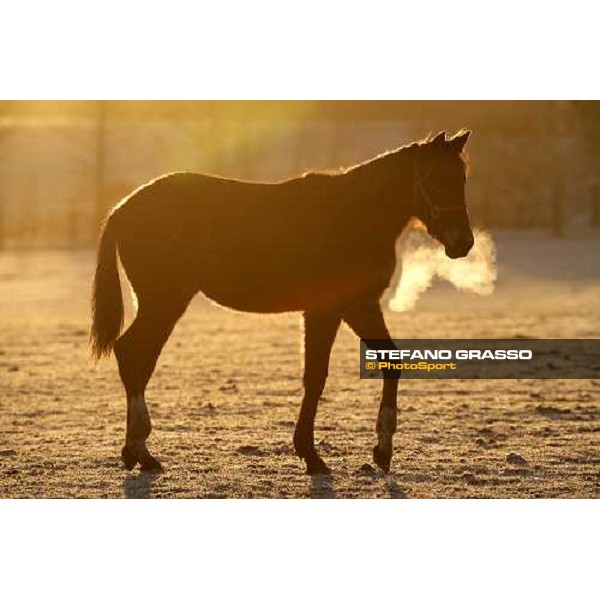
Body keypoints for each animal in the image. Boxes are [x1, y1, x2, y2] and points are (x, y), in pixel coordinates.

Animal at [90, 130, 474, 474]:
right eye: (435, 178)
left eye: (462, 178)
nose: (463, 243)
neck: (352, 214)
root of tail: (123, 207)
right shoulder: (328, 310)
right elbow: (316, 377)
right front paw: (311, 455)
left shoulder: (359, 306)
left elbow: (389, 361)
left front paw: (381, 451)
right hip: (164, 300)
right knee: (134, 355)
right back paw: (140, 450)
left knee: (136, 357)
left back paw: (137, 453)